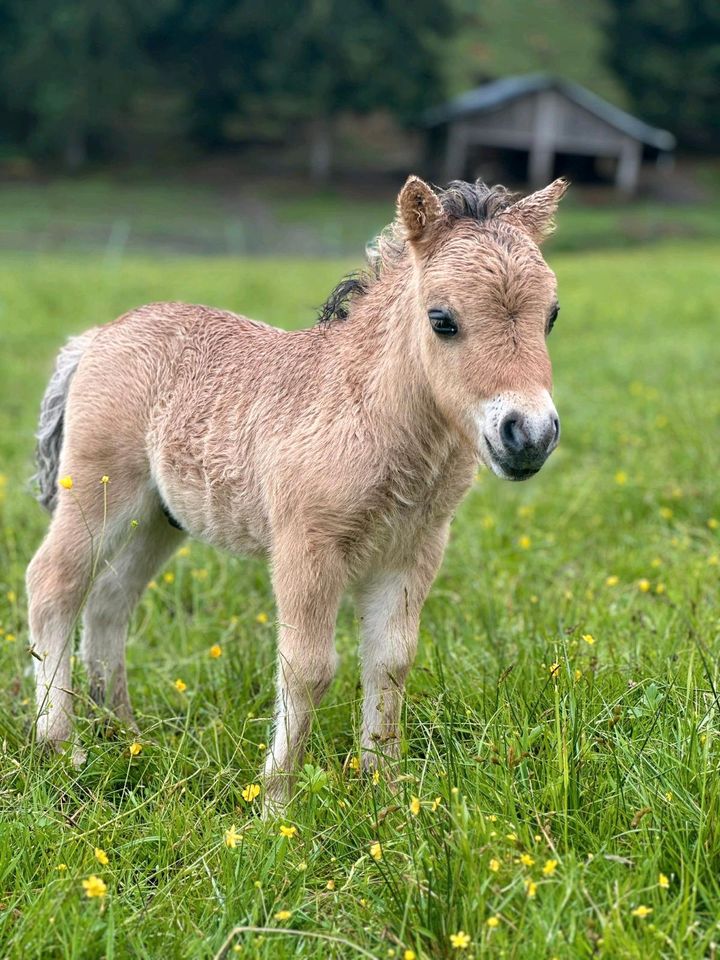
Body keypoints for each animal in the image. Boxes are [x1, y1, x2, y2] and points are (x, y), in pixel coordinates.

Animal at [26, 174, 568, 804]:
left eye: (551, 315)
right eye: (442, 319)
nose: (529, 435)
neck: (368, 412)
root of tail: (96, 337)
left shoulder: (414, 549)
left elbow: (391, 660)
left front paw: (384, 790)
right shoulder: (305, 547)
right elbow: (308, 668)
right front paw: (275, 802)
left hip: (161, 516)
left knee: (111, 599)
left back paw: (125, 733)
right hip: (99, 488)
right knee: (54, 583)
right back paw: (63, 746)